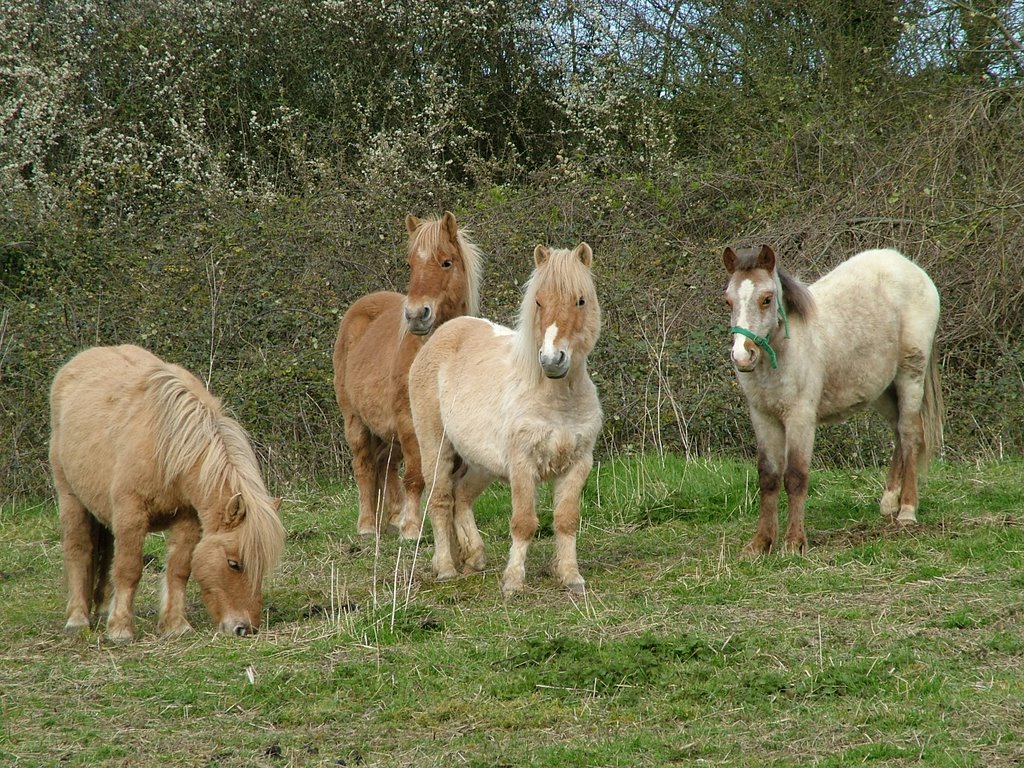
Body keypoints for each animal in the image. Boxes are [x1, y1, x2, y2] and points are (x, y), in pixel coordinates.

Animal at [331, 208, 483, 536]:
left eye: (446, 262)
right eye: (410, 264)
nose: (415, 315)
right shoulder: (409, 423)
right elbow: (416, 476)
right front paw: (412, 527)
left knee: (385, 464)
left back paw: (391, 517)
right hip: (356, 422)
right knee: (364, 466)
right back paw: (367, 525)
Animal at [407, 243, 598, 598]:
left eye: (581, 300)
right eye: (538, 301)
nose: (552, 360)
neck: (557, 399)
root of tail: (443, 333)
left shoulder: (578, 465)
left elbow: (566, 520)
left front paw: (570, 576)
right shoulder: (523, 466)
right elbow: (523, 523)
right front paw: (513, 582)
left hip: (481, 463)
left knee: (461, 497)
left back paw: (474, 558)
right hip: (435, 446)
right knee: (440, 500)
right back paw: (446, 568)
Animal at [724, 246, 937, 552]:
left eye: (766, 299)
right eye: (728, 301)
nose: (742, 355)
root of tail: (910, 267)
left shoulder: (800, 418)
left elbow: (796, 476)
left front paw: (794, 543)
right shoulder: (763, 417)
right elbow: (768, 476)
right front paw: (760, 544)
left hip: (910, 375)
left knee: (910, 435)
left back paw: (907, 511)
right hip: (882, 389)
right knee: (898, 431)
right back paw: (888, 503)